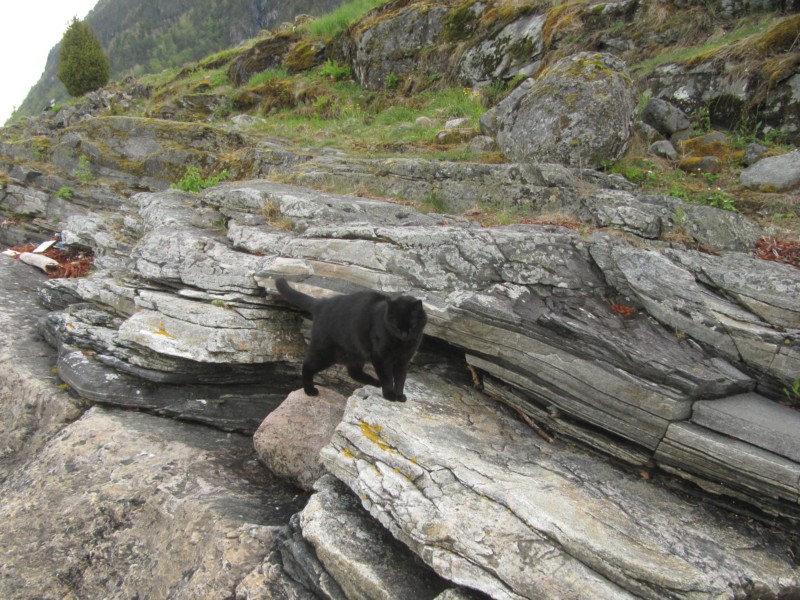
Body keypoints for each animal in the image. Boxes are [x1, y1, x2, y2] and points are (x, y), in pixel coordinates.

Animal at [276, 278, 424, 400]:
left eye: (412, 325)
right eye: (395, 325)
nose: (404, 334)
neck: (402, 344)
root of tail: (322, 302)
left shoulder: (403, 361)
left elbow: (400, 378)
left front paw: (399, 395)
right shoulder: (381, 358)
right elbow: (388, 377)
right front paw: (389, 395)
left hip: (354, 354)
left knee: (353, 372)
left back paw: (375, 382)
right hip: (325, 352)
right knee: (307, 365)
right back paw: (310, 391)